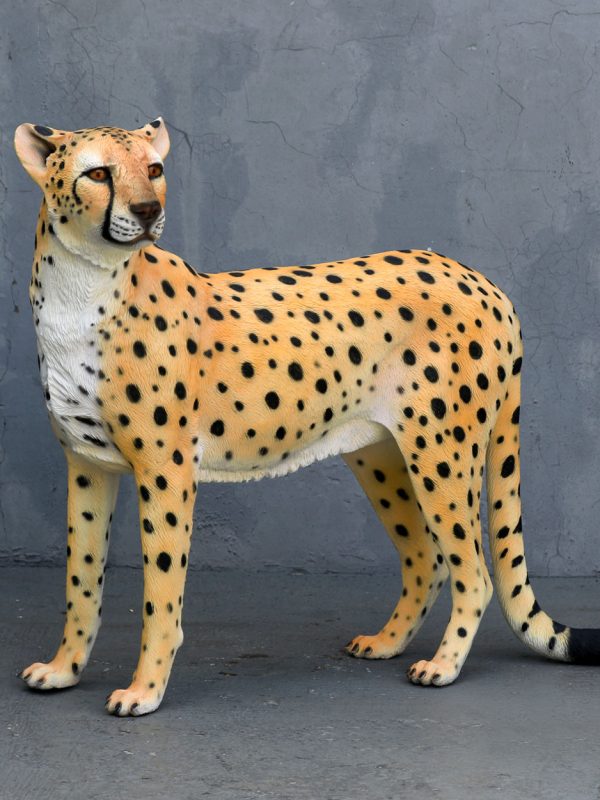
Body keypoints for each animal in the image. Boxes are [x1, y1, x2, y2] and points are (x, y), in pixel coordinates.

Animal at [13, 118, 600, 716]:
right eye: (98, 173)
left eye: (153, 169)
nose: (148, 209)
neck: (80, 288)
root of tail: (481, 279)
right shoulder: (88, 466)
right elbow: (81, 579)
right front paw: (64, 670)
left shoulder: (166, 472)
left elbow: (161, 594)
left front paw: (145, 691)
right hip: (379, 454)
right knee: (427, 557)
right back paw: (387, 642)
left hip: (442, 453)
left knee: (474, 571)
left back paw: (443, 665)